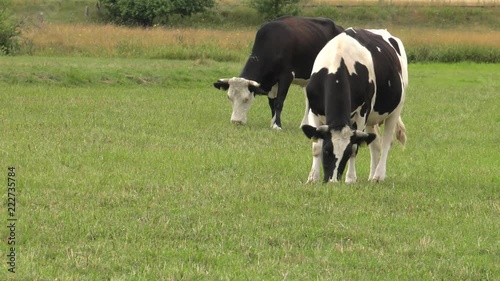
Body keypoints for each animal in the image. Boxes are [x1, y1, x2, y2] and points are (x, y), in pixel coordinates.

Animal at [211, 15, 344, 129]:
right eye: (229, 98)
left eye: (246, 99)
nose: (236, 121)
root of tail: (339, 28)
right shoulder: (271, 82)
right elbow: (272, 103)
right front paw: (272, 122)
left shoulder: (286, 76)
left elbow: (279, 102)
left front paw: (277, 125)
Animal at [302, 27, 408, 182]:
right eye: (326, 150)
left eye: (345, 154)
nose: (333, 181)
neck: (337, 63)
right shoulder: (313, 109)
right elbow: (316, 146)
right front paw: (312, 178)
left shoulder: (362, 113)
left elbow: (355, 147)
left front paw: (350, 179)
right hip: (372, 118)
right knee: (375, 144)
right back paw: (371, 176)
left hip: (395, 109)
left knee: (386, 142)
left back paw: (378, 175)